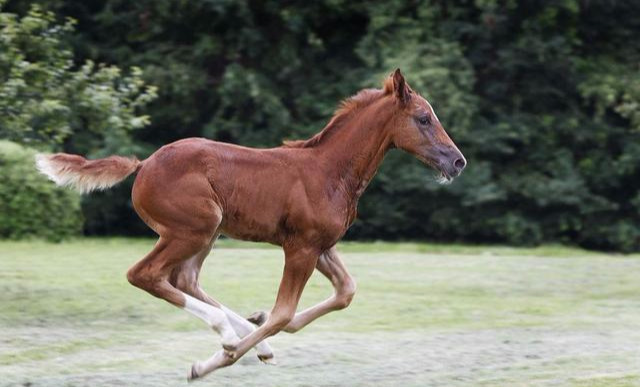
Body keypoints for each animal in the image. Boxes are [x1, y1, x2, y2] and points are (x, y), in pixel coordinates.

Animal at [35, 69, 464, 382]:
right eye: (423, 119)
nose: (457, 161)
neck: (330, 171)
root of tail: (143, 164)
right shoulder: (301, 247)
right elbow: (283, 313)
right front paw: (211, 362)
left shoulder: (323, 245)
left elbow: (345, 292)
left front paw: (256, 326)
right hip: (194, 228)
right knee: (145, 274)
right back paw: (227, 336)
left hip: (206, 233)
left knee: (183, 279)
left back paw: (248, 337)